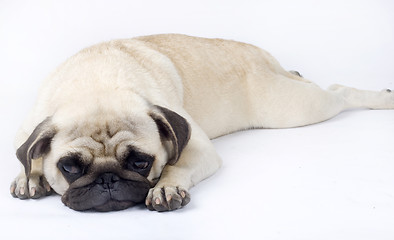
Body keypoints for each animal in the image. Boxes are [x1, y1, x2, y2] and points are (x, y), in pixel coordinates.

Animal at [10, 34, 394, 212]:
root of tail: (260, 55)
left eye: (140, 162)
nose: (107, 179)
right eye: (70, 167)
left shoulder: (196, 146)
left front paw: (166, 187)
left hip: (296, 109)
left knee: (340, 92)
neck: (96, 88)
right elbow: (27, 156)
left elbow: (176, 167)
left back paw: (382, 98)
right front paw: (29, 176)